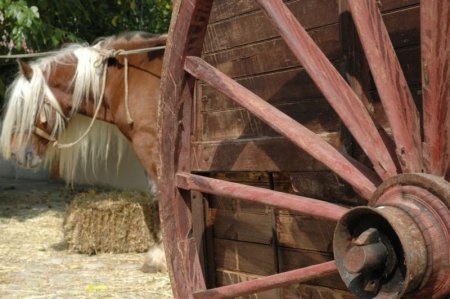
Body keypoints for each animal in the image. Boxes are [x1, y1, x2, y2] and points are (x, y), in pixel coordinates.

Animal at [0, 32, 167, 274]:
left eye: (25, 107)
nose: (17, 155)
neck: (125, 79)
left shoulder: (150, 145)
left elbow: (160, 194)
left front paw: (160, 254)